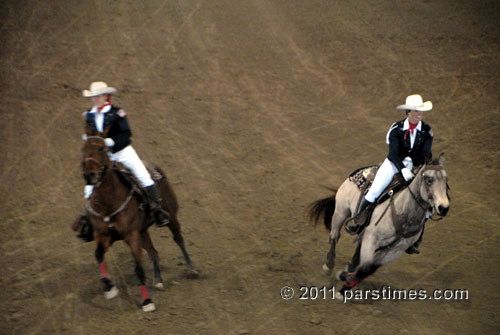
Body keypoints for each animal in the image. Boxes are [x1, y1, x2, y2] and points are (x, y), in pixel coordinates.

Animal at [78, 131, 197, 312]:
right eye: (82, 150)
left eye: (101, 149)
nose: (89, 175)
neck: (108, 203)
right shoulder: (107, 237)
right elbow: (98, 255)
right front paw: (109, 287)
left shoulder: (132, 236)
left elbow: (139, 269)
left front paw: (147, 301)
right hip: (143, 232)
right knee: (153, 252)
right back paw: (158, 280)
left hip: (171, 216)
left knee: (178, 239)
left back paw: (191, 269)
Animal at [308, 155, 450, 300]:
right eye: (429, 180)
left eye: (446, 180)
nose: (443, 208)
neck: (403, 213)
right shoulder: (371, 239)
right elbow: (365, 267)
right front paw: (343, 282)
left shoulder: (394, 251)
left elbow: (367, 269)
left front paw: (345, 282)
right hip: (341, 211)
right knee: (335, 236)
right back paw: (329, 265)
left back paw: (349, 267)